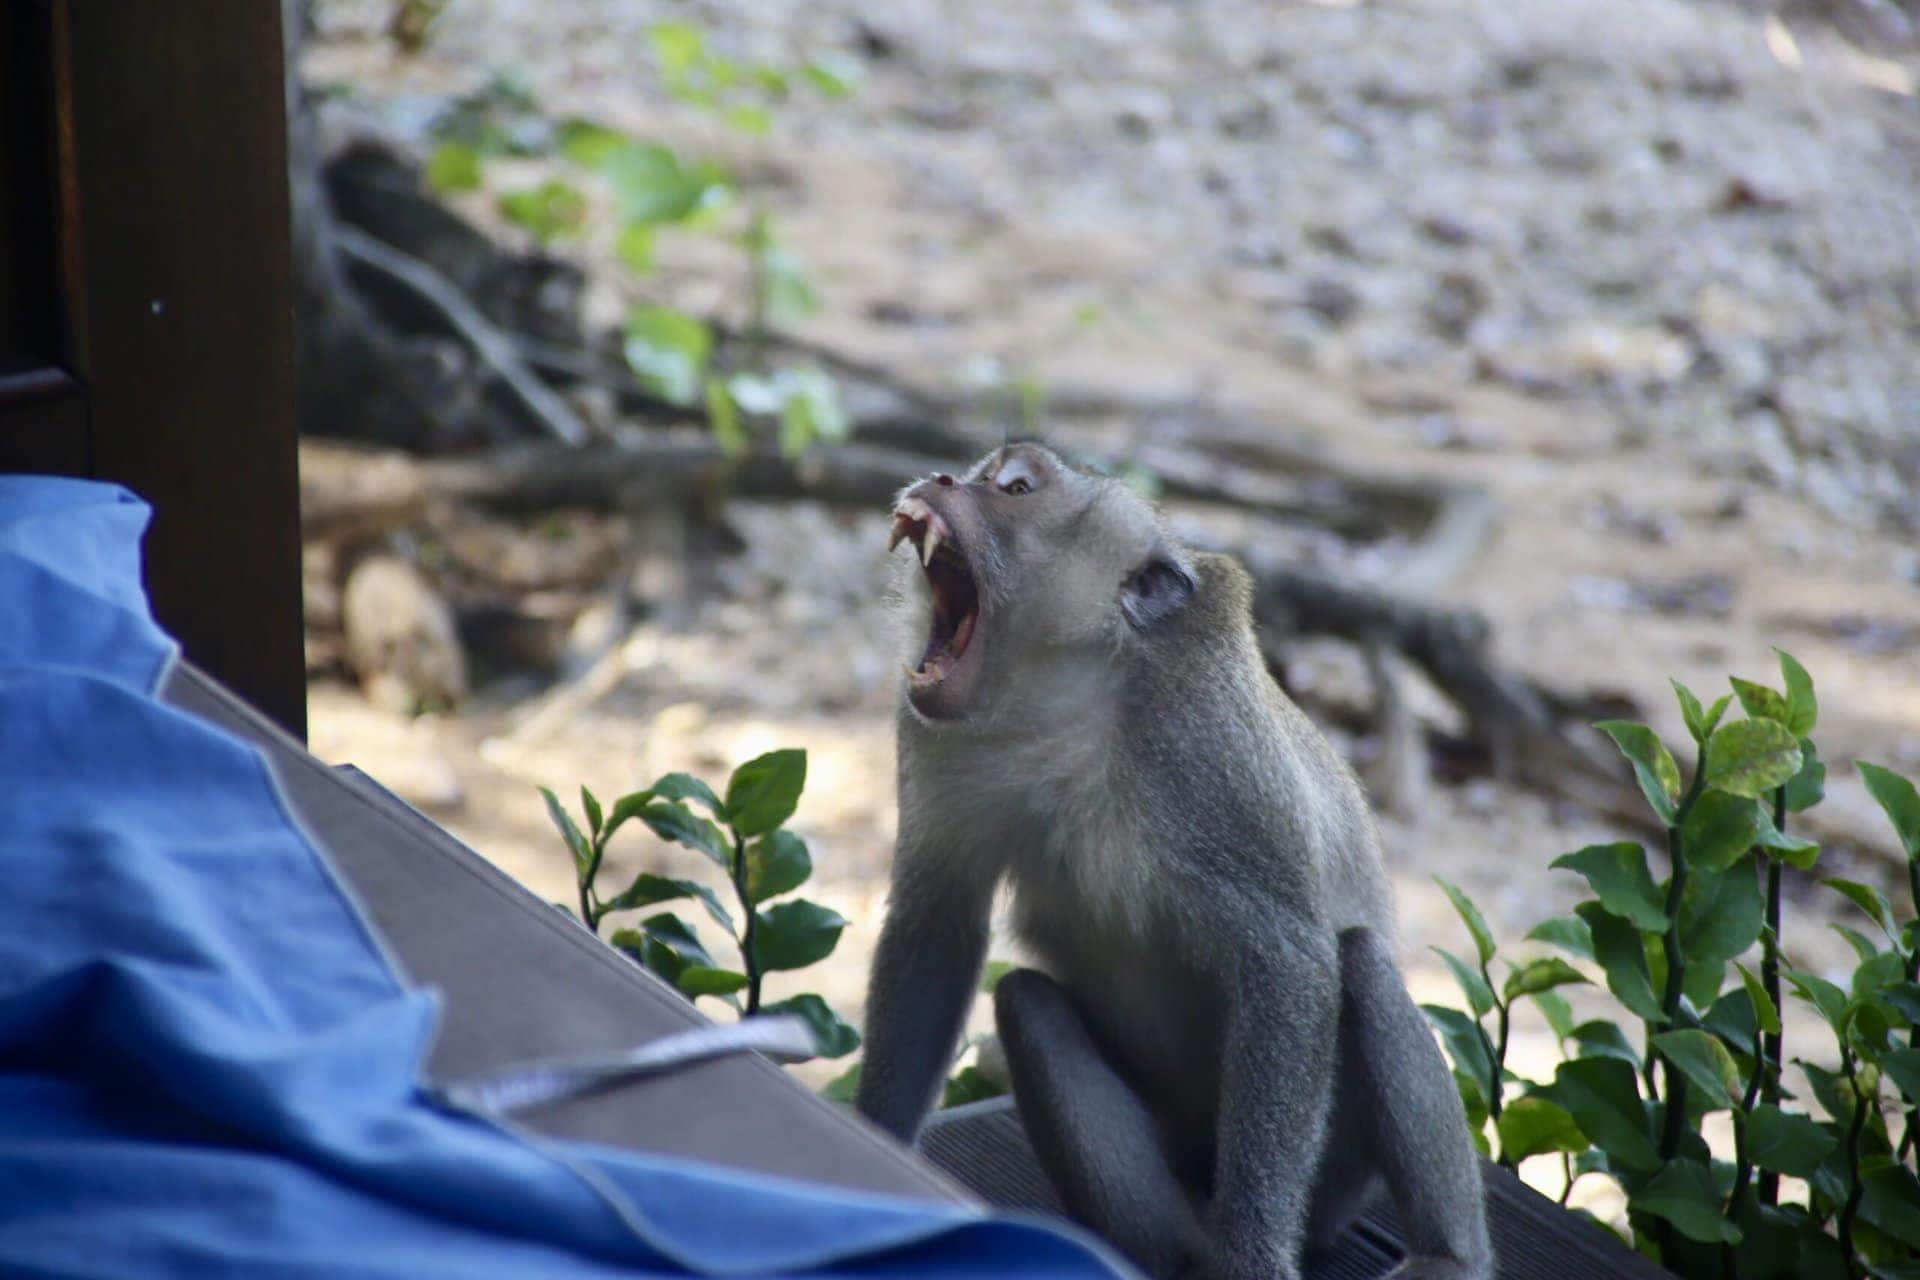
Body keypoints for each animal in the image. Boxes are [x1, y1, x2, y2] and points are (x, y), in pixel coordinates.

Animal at [855, 443, 1491, 1280]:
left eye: (1015, 488)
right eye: (981, 472)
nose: (944, 479)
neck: (1065, 699)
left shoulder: (1209, 749)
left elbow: (1287, 960)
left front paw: (1253, 1255)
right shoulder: (933, 734)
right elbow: (938, 926)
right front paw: (873, 1151)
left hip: (1333, 1177)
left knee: (1360, 965)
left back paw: (1446, 1254)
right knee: (1026, 1002)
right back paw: (1166, 1249)